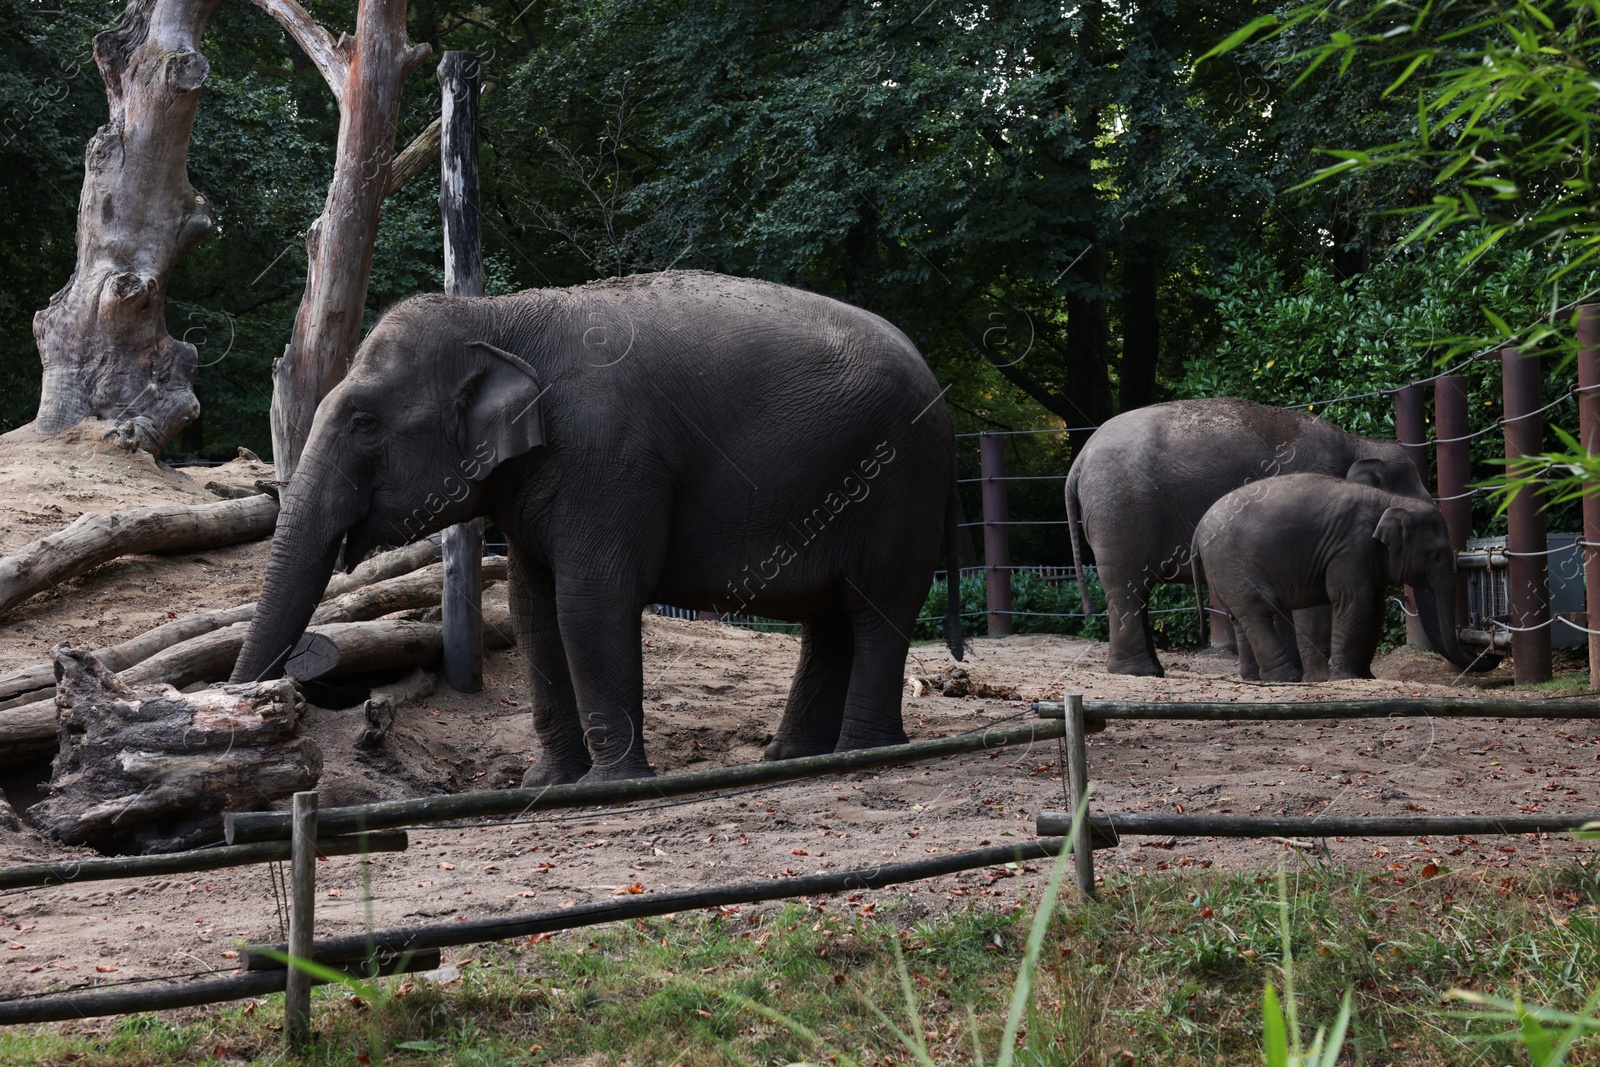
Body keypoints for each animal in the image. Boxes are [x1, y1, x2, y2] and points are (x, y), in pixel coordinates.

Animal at [232, 267, 960, 783]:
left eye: (364, 422)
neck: (498, 315)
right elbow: (533, 608)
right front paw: (547, 783)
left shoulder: (608, 457)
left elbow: (590, 600)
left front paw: (609, 785)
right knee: (830, 619)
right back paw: (791, 760)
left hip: (902, 482)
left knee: (875, 608)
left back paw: (864, 756)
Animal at [1068, 396, 1433, 681]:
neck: (1358, 443)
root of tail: (1080, 458)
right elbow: (1313, 606)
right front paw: (1317, 679)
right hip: (1120, 512)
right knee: (1128, 588)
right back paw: (1139, 672)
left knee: (1137, 591)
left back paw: (1151, 671)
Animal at [1190, 476, 1497, 684]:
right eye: (1435, 555)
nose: (1492, 653)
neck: (1390, 501)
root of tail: (1197, 531)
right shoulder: (1351, 546)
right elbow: (1354, 601)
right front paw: (1343, 677)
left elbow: (1375, 608)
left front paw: (1366, 677)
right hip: (1232, 562)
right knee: (1257, 611)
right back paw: (1286, 678)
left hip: (1223, 570)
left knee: (1239, 616)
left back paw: (1254, 678)